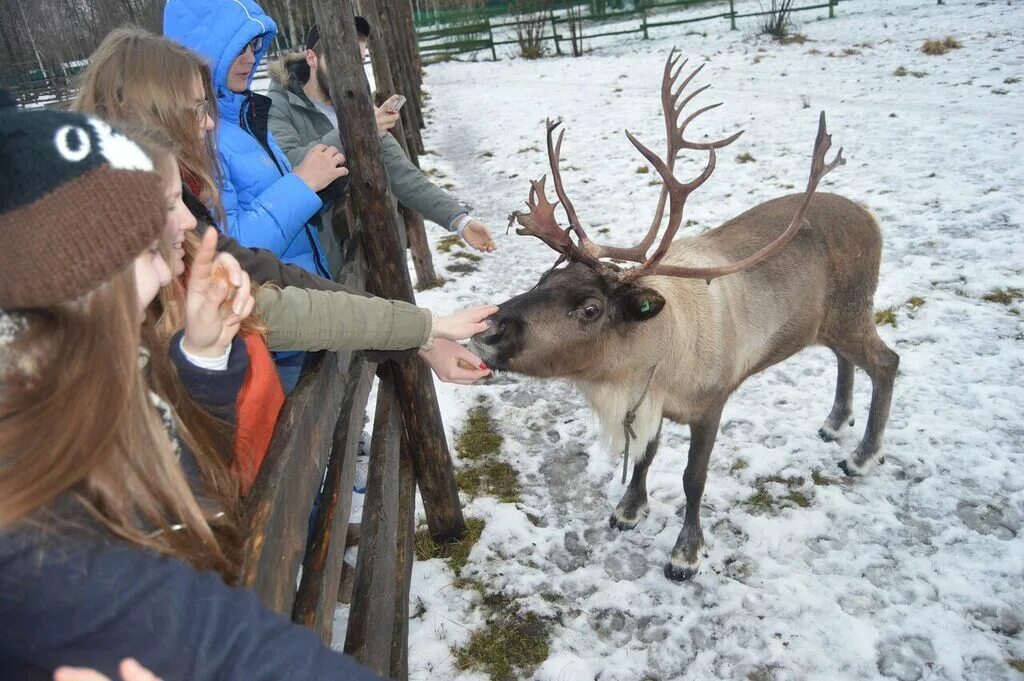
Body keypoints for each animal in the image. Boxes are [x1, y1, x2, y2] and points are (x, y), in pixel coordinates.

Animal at [468, 50, 901, 581]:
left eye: (590, 308)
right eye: (543, 279)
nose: (488, 330)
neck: (658, 351)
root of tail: (871, 217)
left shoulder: (711, 404)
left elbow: (694, 478)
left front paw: (686, 552)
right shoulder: (647, 405)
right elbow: (644, 458)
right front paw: (629, 509)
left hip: (855, 309)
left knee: (886, 362)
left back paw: (863, 455)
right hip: (833, 322)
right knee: (846, 359)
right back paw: (836, 421)